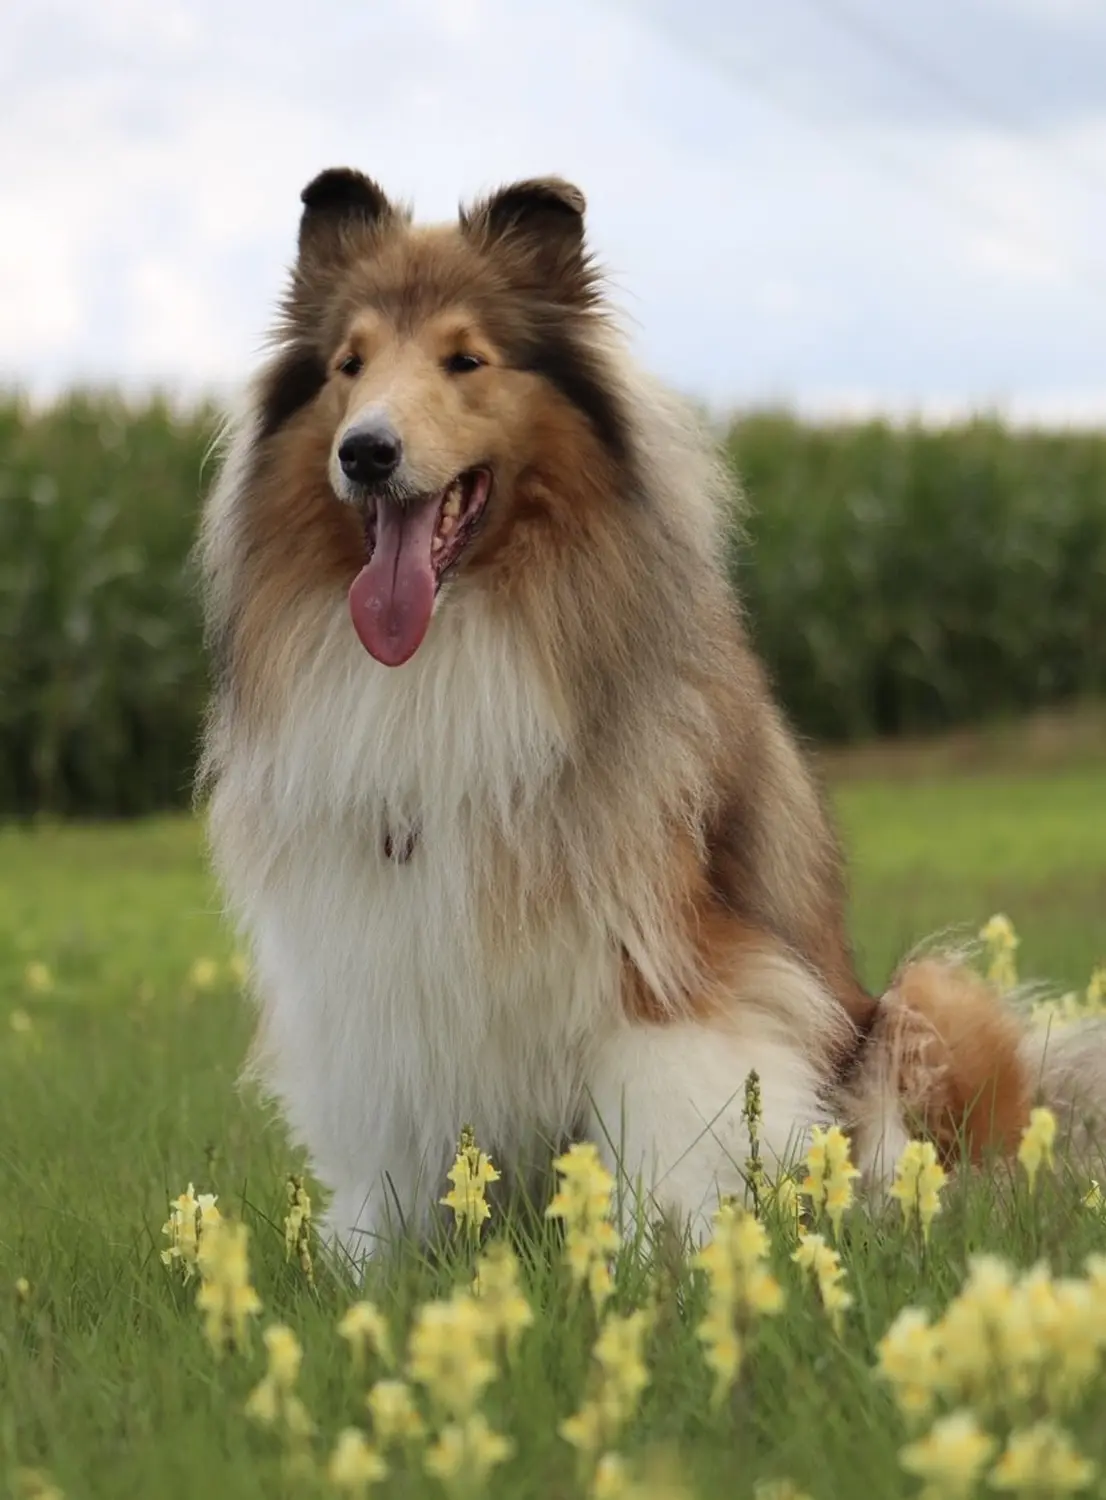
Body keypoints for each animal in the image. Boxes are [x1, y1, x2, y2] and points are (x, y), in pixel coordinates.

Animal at [201, 167, 1104, 1266]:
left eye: (465, 359)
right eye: (348, 364)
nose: (366, 452)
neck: (456, 637)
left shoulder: (665, 955)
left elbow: (665, 1119)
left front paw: (651, 1257)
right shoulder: (376, 954)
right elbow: (395, 1145)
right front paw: (378, 1267)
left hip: (920, 1000)